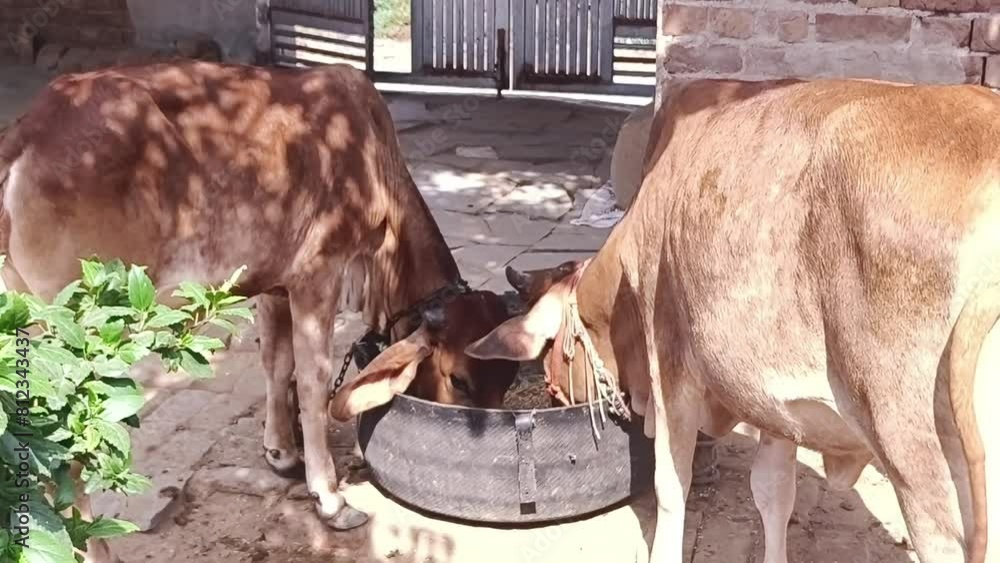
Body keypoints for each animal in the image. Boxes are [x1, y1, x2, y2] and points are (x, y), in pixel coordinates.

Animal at [0, 60, 519, 561]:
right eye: (459, 380)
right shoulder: (318, 273)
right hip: (81, 327)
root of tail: (28, 133)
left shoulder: (272, 284)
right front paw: (330, 498)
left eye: (508, 380)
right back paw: (96, 550)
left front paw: (281, 453)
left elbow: (276, 363)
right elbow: (311, 381)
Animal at [465, 77, 998, 563]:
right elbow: (773, 491)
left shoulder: (670, 361)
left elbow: (670, 484)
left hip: (912, 444)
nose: (556, 396)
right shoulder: (775, 400)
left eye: (552, 368)